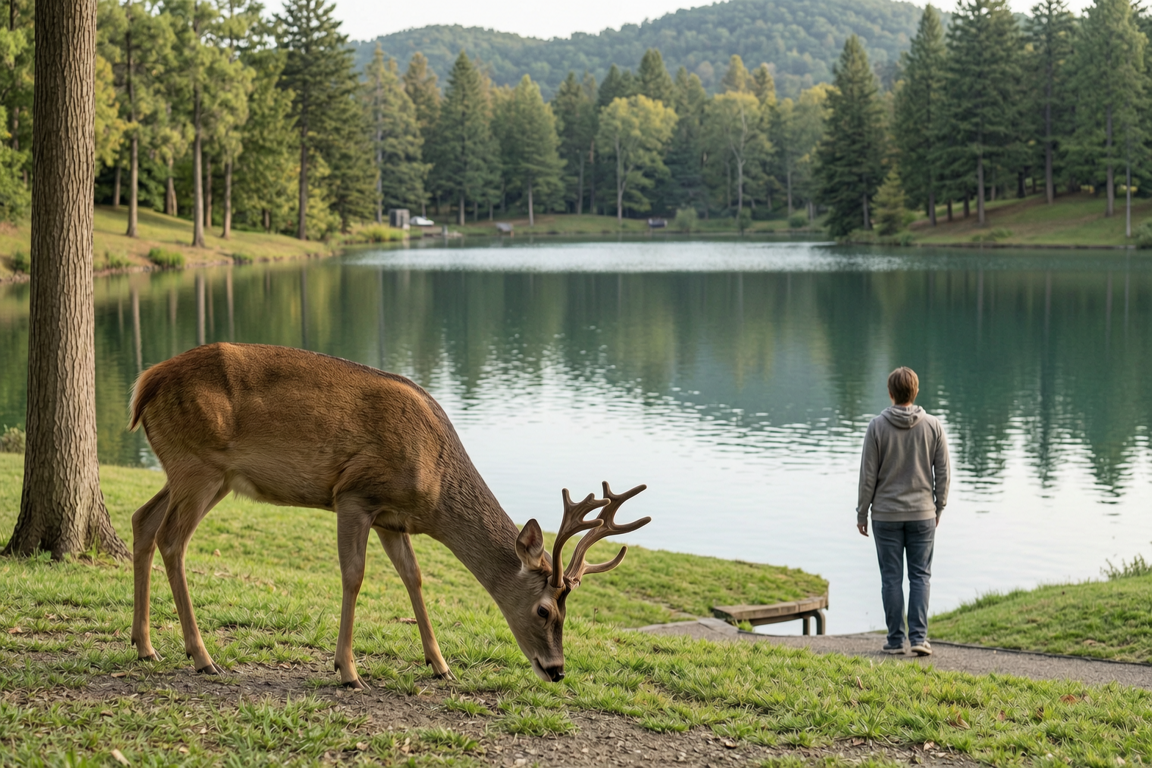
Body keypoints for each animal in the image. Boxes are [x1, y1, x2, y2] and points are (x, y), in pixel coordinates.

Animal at [127, 342, 650, 688]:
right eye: (545, 610)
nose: (556, 669)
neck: (434, 485)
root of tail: (144, 384)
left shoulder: (393, 520)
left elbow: (414, 578)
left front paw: (440, 665)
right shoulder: (356, 493)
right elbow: (354, 576)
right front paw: (347, 670)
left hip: (191, 471)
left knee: (142, 520)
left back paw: (145, 645)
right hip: (199, 465)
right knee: (172, 539)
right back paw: (201, 656)